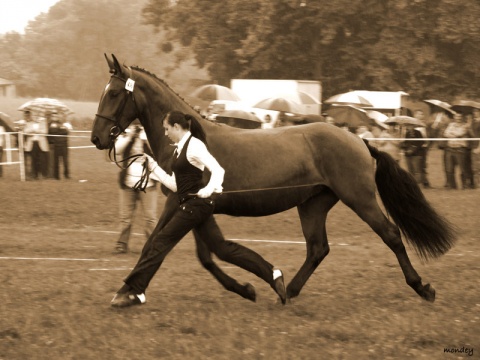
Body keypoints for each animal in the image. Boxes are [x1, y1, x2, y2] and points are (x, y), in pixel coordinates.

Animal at [92, 54, 456, 304]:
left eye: (114, 93)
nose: (97, 138)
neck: (188, 138)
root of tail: (359, 139)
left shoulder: (178, 201)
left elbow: (157, 244)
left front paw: (127, 292)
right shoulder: (192, 206)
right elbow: (205, 255)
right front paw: (246, 288)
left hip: (360, 198)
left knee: (391, 235)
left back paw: (423, 287)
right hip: (313, 204)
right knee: (317, 248)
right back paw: (288, 290)